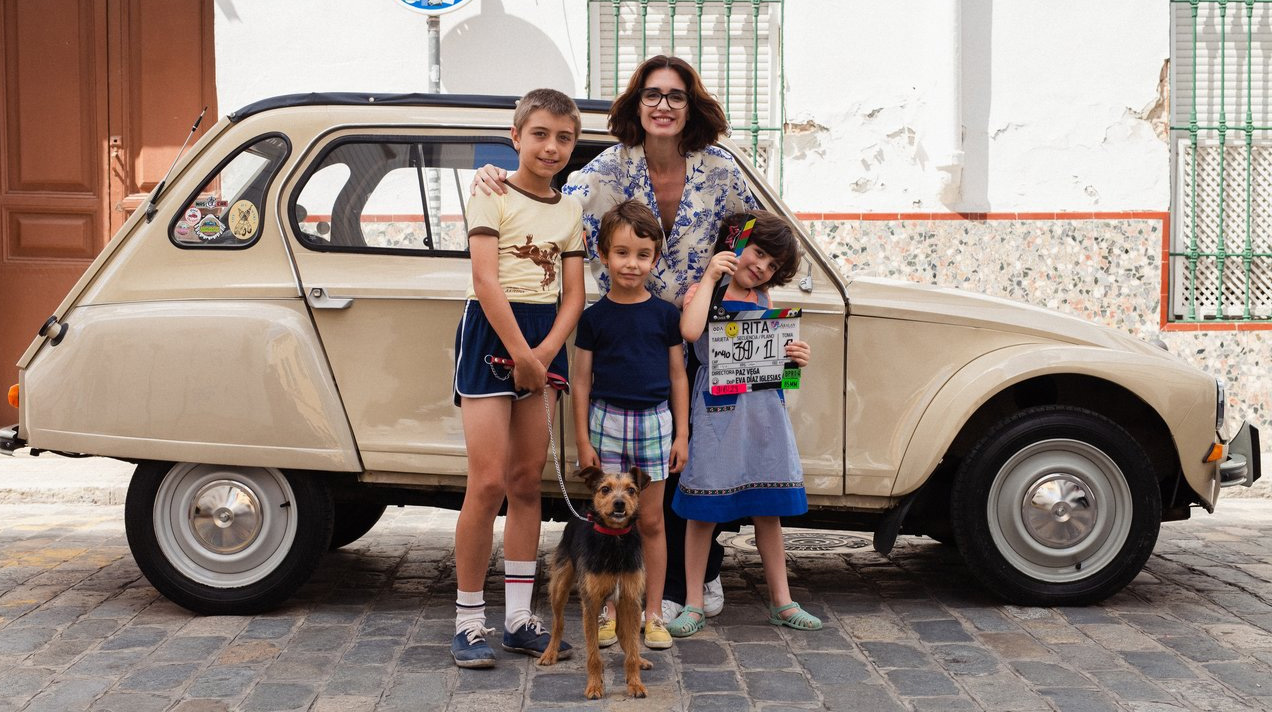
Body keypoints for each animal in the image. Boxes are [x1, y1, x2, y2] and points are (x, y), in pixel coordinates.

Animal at [539, 465, 656, 696]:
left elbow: (632, 645)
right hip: (560, 586)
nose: (619, 503)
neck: (615, 539)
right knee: (558, 622)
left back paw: (640, 660)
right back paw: (550, 652)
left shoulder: (632, 598)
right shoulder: (591, 603)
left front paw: (635, 681)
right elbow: (593, 654)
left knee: (624, 634)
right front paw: (594, 685)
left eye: (631, 490)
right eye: (605, 489)